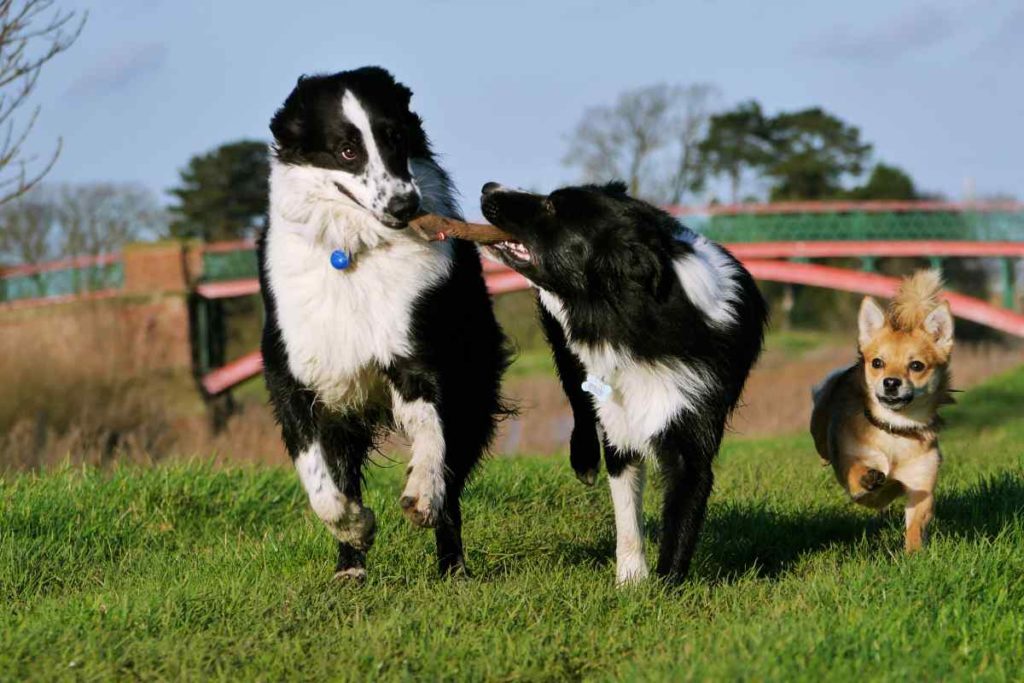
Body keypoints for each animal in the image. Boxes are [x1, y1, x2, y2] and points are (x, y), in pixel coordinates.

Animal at [260, 68, 507, 581]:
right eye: (347, 150)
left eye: (395, 137)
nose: (405, 205)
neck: (354, 251)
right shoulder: (293, 375)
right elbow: (320, 479)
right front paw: (355, 529)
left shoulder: (419, 357)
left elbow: (432, 438)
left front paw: (421, 496)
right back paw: (349, 569)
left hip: (474, 378)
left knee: (453, 473)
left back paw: (452, 566)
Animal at [475, 180, 765, 581]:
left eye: (551, 206)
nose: (488, 187)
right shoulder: (618, 420)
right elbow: (628, 515)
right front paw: (630, 581)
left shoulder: (693, 431)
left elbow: (681, 519)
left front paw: (666, 586)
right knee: (578, 401)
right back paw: (584, 460)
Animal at [811, 270, 954, 552]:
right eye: (877, 363)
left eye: (917, 366)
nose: (891, 382)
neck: (895, 428)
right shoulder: (856, 479)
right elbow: (860, 476)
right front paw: (871, 478)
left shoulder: (921, 485)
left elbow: (915, 524)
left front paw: (913, 554)